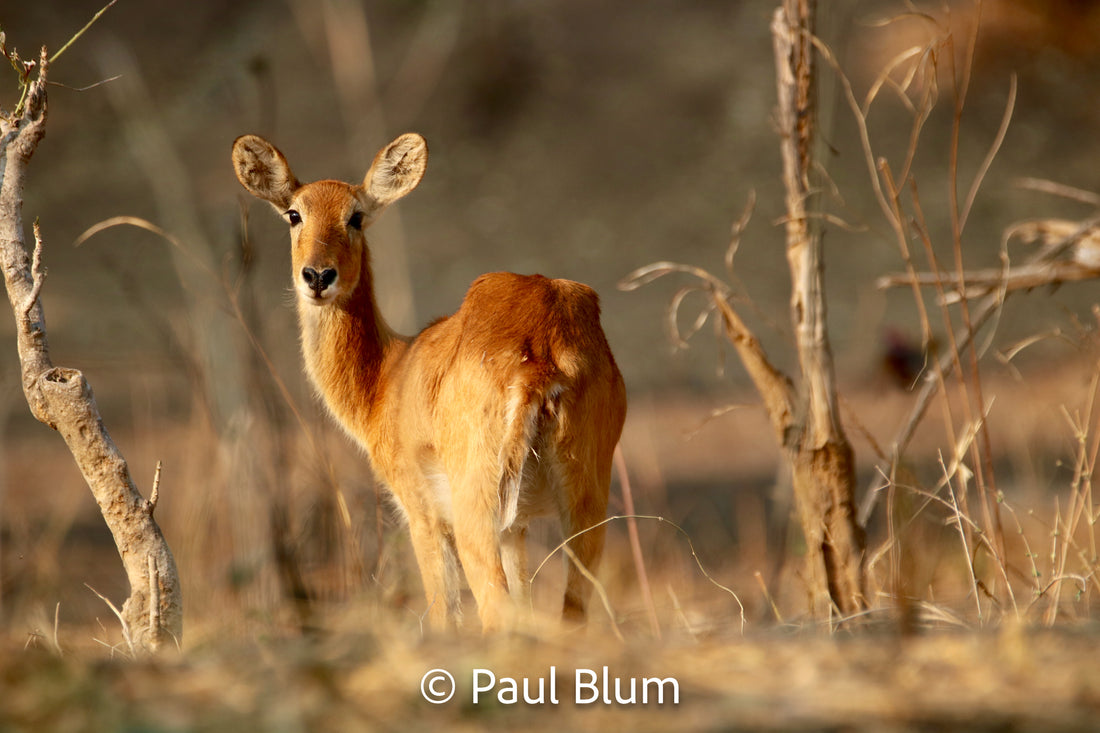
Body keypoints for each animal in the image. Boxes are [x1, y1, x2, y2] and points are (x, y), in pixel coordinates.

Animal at [232, 129, 629, 629]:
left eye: (355, 216)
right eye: (294, 214)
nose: (318, 276)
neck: (385, 378)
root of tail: (540, 359)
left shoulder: (421, 513)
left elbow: (444, 614)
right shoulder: (516, 528)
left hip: (476, 508)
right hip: (584, 504)